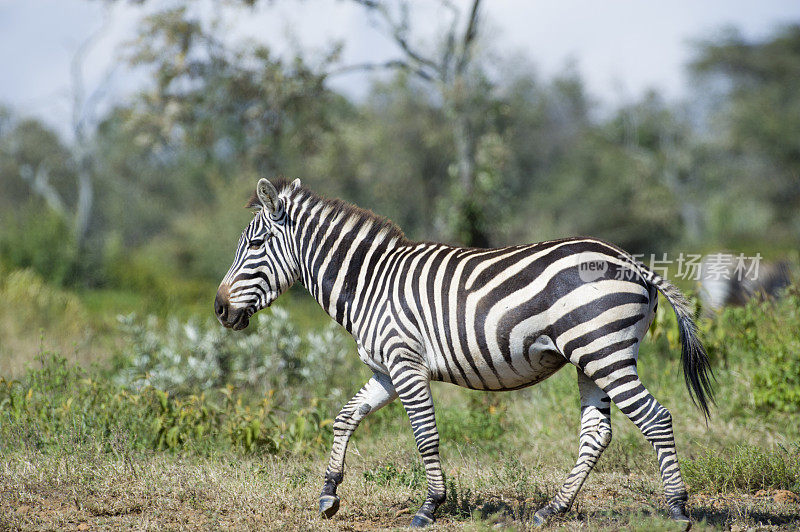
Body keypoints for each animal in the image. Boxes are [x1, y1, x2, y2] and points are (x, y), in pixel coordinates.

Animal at [216, 179, 716, 528]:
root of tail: (634, 263)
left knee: (656, 418)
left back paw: (678, 510)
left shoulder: (406, 364)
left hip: (604, 351)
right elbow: (345, 416)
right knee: (596, 434)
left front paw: (429, 508)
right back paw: (551, 510)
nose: (219, 309)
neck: (370, 284)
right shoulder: (385, 370)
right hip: (591, 359)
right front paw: (329, 492)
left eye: (255, 245)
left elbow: (425, 436)